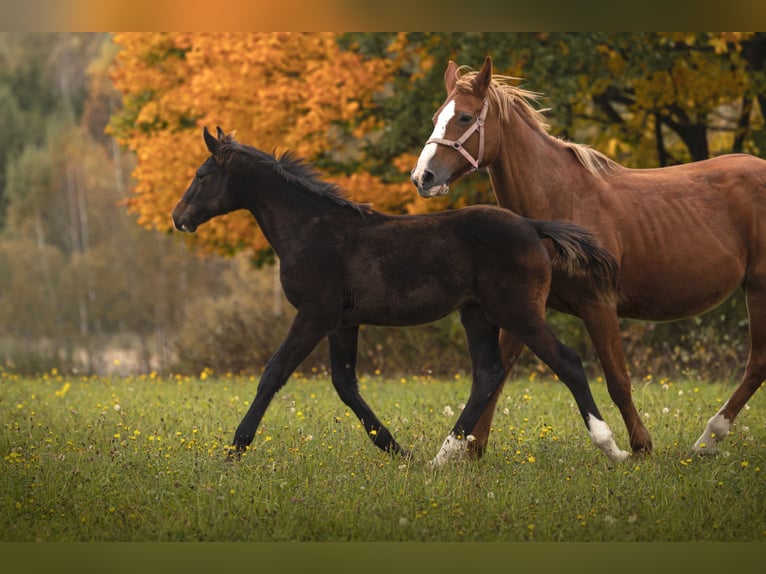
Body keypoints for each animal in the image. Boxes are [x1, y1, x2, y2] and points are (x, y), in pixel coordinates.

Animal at [172, 128, 632, 466]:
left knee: (566, 362)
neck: (311, 227)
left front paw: (234, 450)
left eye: (202, 175)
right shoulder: (343, 322)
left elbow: (274, 373)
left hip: (518, 311)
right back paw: (439, 459)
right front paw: (398, 451)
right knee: (487, 375)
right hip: (476, 314)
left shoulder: (315, 314)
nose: (179, 217)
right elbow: (344, 384)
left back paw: (612, 447)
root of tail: (533, 227)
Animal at [416, 57, 766, 460]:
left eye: (465, 117)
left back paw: (709, 437)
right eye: (436, 117)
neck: (560, 200)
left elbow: (618, 380)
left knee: (757, 363)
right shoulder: (527, 306)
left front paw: (640, 447)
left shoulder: (598, 303)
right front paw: (467, 450)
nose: (422, 177)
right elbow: (496, 375)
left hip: (758, 288)